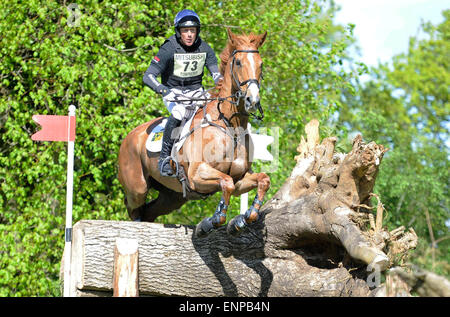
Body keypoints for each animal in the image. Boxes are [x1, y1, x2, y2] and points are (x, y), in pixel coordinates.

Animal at [118, 29, 268, 236]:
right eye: (238, 62)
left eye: (260, 64)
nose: (252, 101)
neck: (230, 125)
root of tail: (130, 136)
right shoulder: (197, 174)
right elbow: (226, 182)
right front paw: (213, 220)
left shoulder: (240, 180)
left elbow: (262, 180)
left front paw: (245, 217)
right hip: (137, 187)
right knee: (133, 206)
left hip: (172, 197)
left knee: (150, 211)